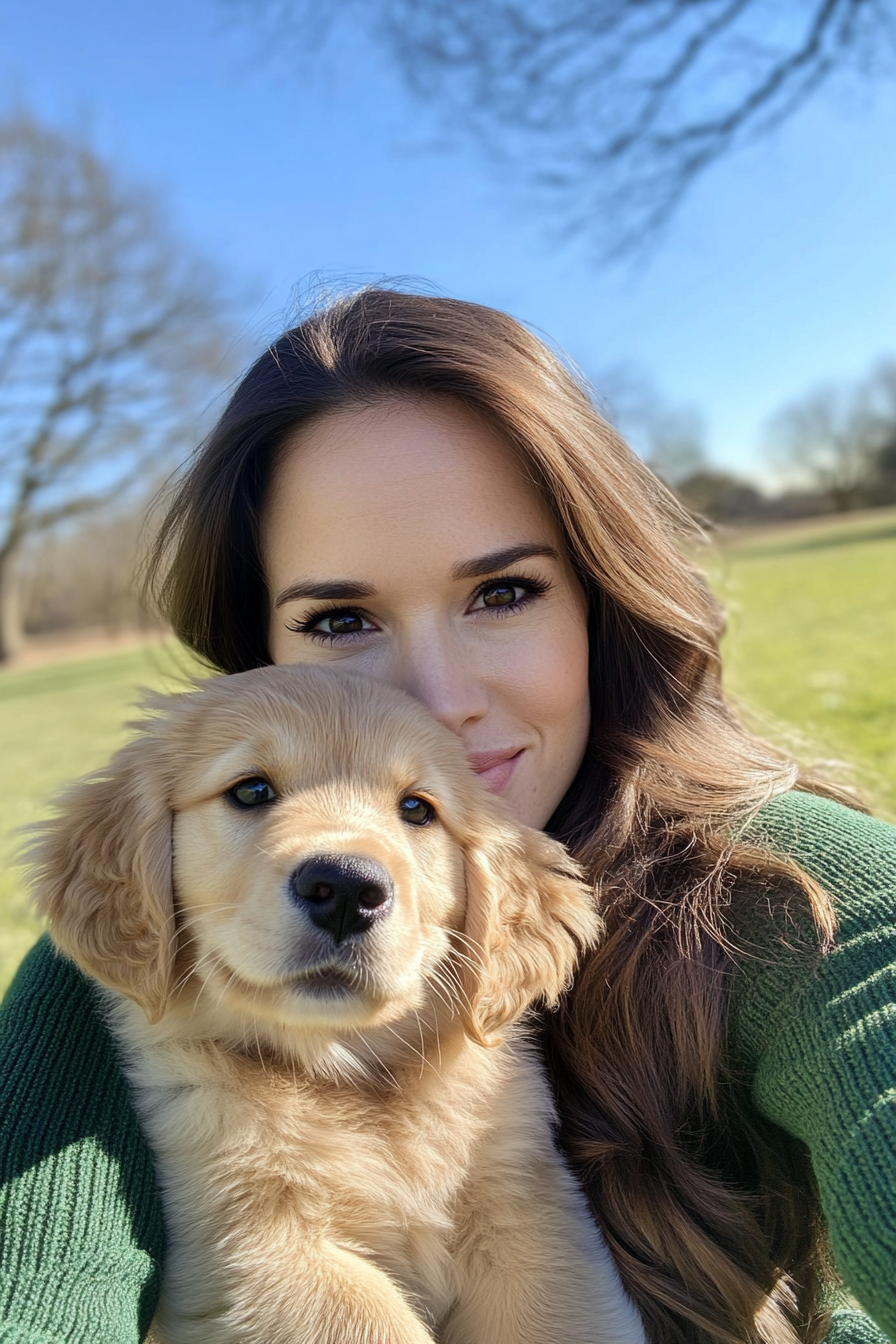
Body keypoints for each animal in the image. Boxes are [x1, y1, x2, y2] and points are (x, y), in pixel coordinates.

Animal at [28, 666, 644, 1344]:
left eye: (416, 809)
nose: (346, 889)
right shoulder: (254, 1247)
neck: (351, 1078)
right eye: (250, 791)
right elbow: (367, 1319)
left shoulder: (526, 1210)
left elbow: (559, 1314)